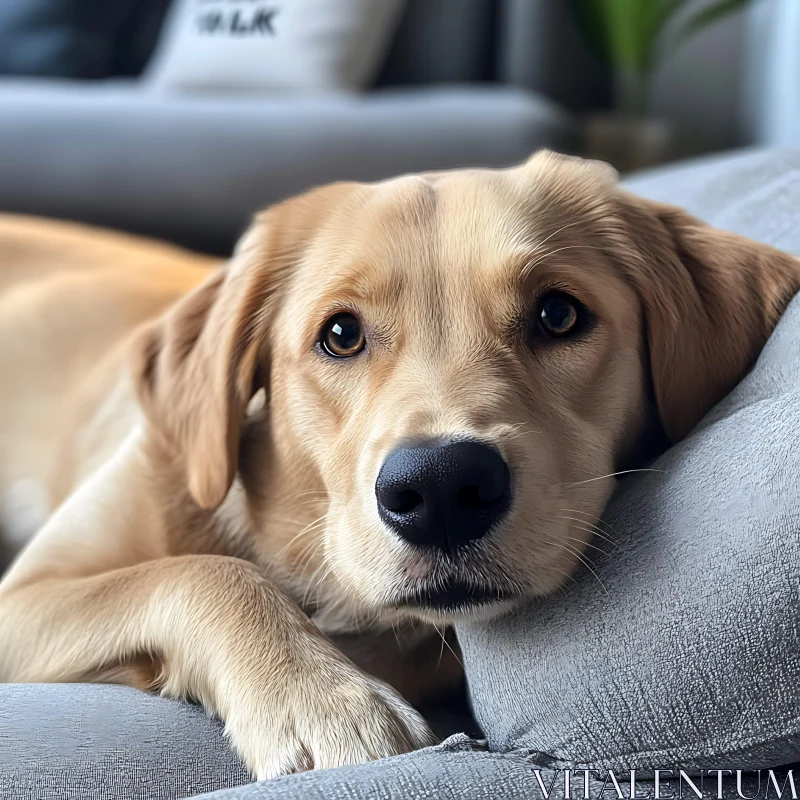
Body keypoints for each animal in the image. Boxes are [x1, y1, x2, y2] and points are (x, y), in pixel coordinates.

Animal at [1, 150, 800, 776]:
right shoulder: (22, 598)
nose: (441, 488)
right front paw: (321, 701)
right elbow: (204, 572)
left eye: (558, 315)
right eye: (340, 335)